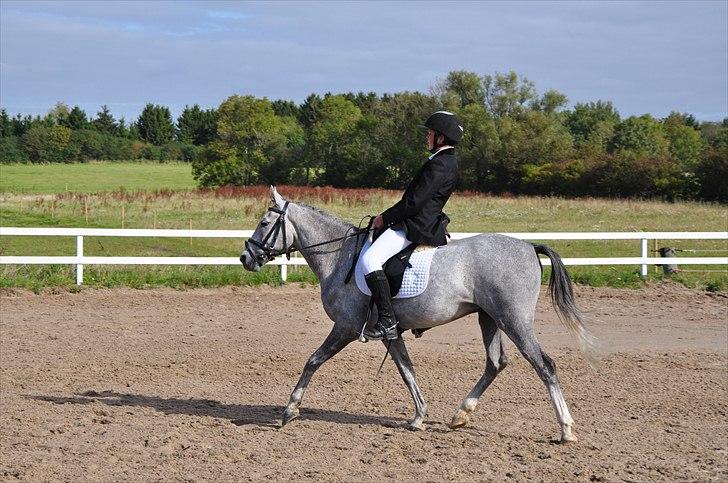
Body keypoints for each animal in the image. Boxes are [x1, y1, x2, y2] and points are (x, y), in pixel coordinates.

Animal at [242, 187, 596, 444]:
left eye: (264, 223)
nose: (246, 257)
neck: (340, 257)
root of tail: (528, 246)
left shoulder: (345, 327)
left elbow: (313, 360)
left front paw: (290, 410)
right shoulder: (390, 332)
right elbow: (406, 370)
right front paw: (419, 417)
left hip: (514, 320)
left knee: (544, 365)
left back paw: (565, 429)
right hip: (490, 319)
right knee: (495, 363)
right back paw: (460, 415)